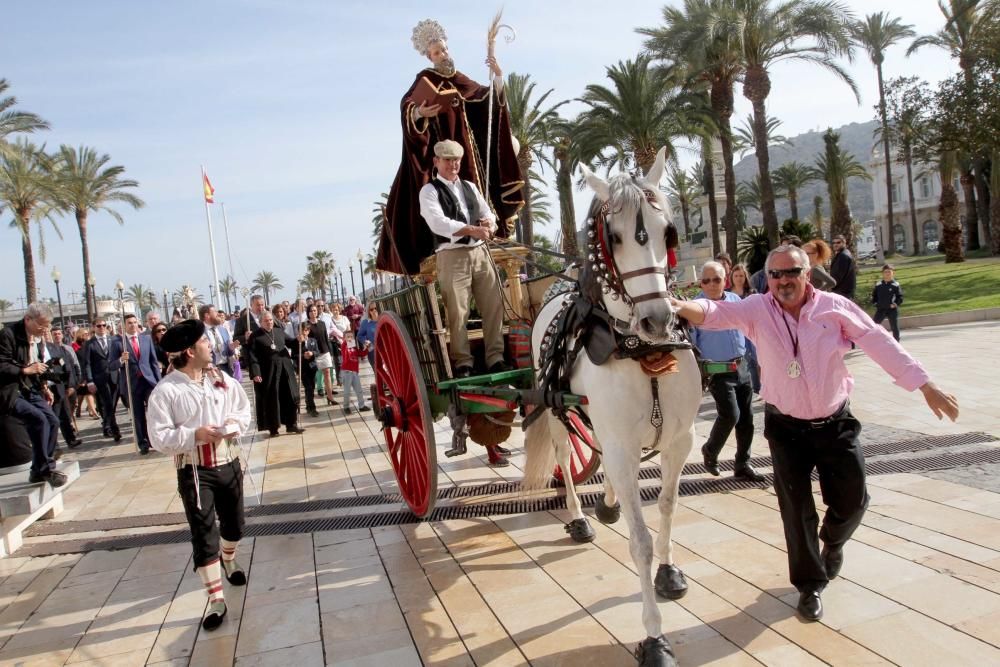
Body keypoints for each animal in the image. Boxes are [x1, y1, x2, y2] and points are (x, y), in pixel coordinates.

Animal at [524, 149, 704, 664]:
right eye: (614, 236)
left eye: (667, 232)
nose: (658, 319)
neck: (642, 352)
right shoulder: (623, 444)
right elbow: (639, 541)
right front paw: (654, 635)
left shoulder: (680, 440)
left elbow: (667, 506)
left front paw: (669, 572)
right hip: (558, 413)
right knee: (567, 455)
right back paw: (581, 518)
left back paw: (605, 504)